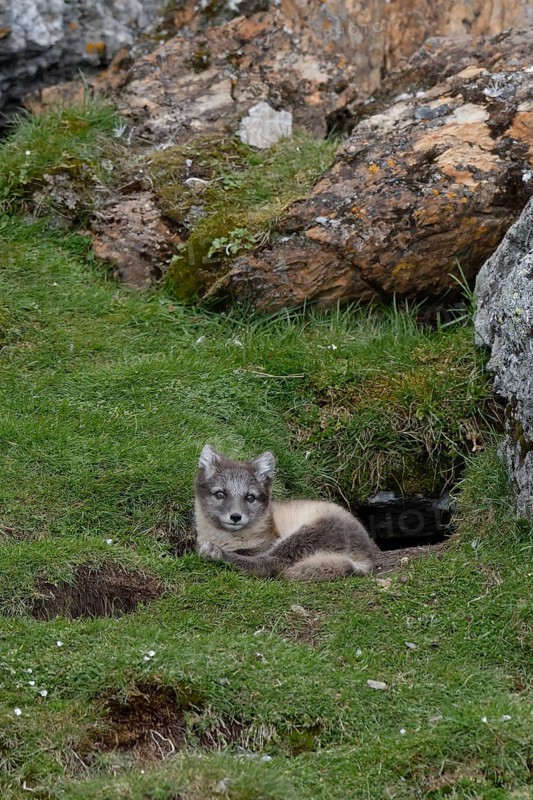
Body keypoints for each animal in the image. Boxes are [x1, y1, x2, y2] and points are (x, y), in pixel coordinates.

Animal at [195, 445, 375, 581]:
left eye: (250, 497)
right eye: (220, 494)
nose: (236, 517)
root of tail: (367, 555)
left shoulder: (266, 543)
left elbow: (252, 554)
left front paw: (218, 551)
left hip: (305, 535)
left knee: (271, 563)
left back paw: (218, 554)